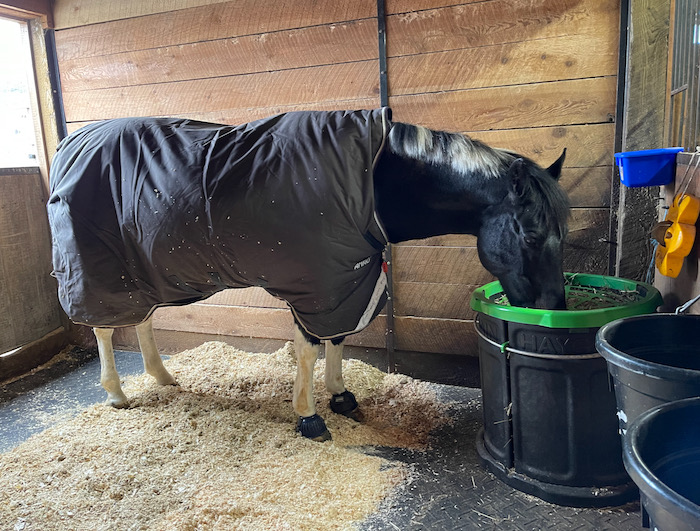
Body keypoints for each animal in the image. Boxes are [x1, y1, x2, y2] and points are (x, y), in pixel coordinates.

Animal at [47, 108, 568, 440]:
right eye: (529, 234)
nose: (554, 314)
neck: (371, 182)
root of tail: (71, 142)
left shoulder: (344, 281)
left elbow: (337, 339)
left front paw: (341, 396)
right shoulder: (315, 281)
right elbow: (308, 348)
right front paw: (309, 417)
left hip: (149, 269)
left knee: (143, 319)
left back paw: (162, 377)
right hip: (98, 269)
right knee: (104, 327)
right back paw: (117, 393)